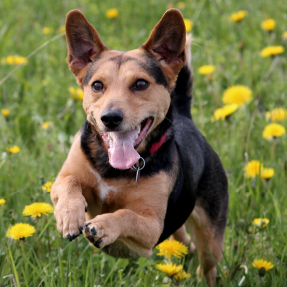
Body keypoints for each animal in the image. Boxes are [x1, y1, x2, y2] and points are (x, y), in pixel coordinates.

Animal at [50, 8, 228, 286]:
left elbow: (126, 215)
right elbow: (69, 182)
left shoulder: (152, 228)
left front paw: (103, 227)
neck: (114, 169)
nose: (110, 118)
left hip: (211, 236)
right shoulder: (63, 178)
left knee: (208, 264)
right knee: (182, 237)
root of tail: (185, 117)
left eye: (141, 84)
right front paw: (69, 216)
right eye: (97, 85)